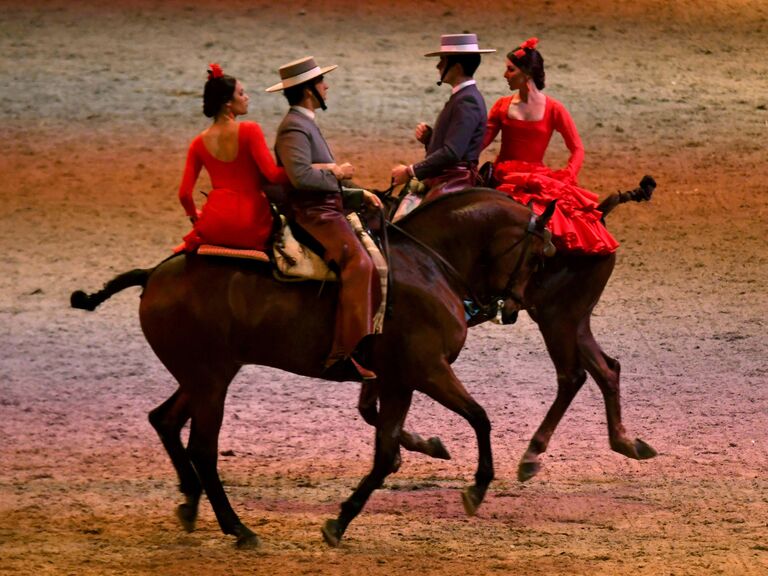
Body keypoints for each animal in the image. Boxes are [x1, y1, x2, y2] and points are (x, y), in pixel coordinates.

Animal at [69, 190, 556, 548]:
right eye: (536, 257)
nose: (512, 309)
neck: (427, 266)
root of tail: (153, 274)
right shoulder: (428, 371)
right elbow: (480, 418)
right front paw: (477, 488)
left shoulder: (398, 382)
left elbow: (385, 454)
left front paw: (340, 521)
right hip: (210, 382)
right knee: (202, 450)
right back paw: (238, 529)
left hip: (203, 376)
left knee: (165, 420)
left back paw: (190, 503)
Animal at [368, 177, 660, 482]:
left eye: (537, 259)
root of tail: (598, 215)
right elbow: (368, 407)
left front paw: (413, 449)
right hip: (574, 320)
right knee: (607, 369)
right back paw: (625, 442)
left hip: (557, 318)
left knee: (572, 377)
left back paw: (533, 453)